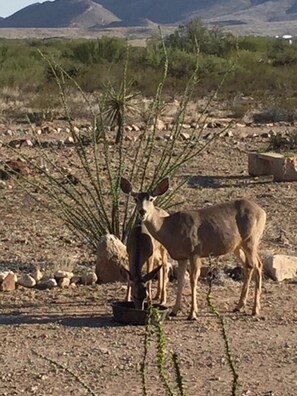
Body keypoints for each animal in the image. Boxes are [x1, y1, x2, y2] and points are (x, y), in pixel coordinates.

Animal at [120, 178, 266, 320]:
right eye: (135, 199)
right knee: (249, 265)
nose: (142, 211)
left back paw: (255, 310)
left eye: (151, 199)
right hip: (237, 246)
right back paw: (239, 306)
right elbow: (180, 280)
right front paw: (174, 311)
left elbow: (192, 279)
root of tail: (262, 212)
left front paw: (192, 314)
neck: (169, 228)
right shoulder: (181, 256)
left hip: (251, 240)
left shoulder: (195, 251)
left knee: (258, 265)